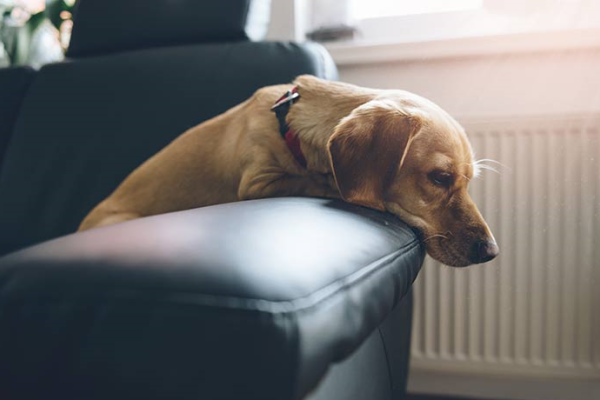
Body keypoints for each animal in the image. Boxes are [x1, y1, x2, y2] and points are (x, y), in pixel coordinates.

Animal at [79, 75, 496, 268]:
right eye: (439, 178)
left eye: (468, 182)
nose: (492, 251)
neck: (290, 123)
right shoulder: (258, 182)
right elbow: (313, 180)